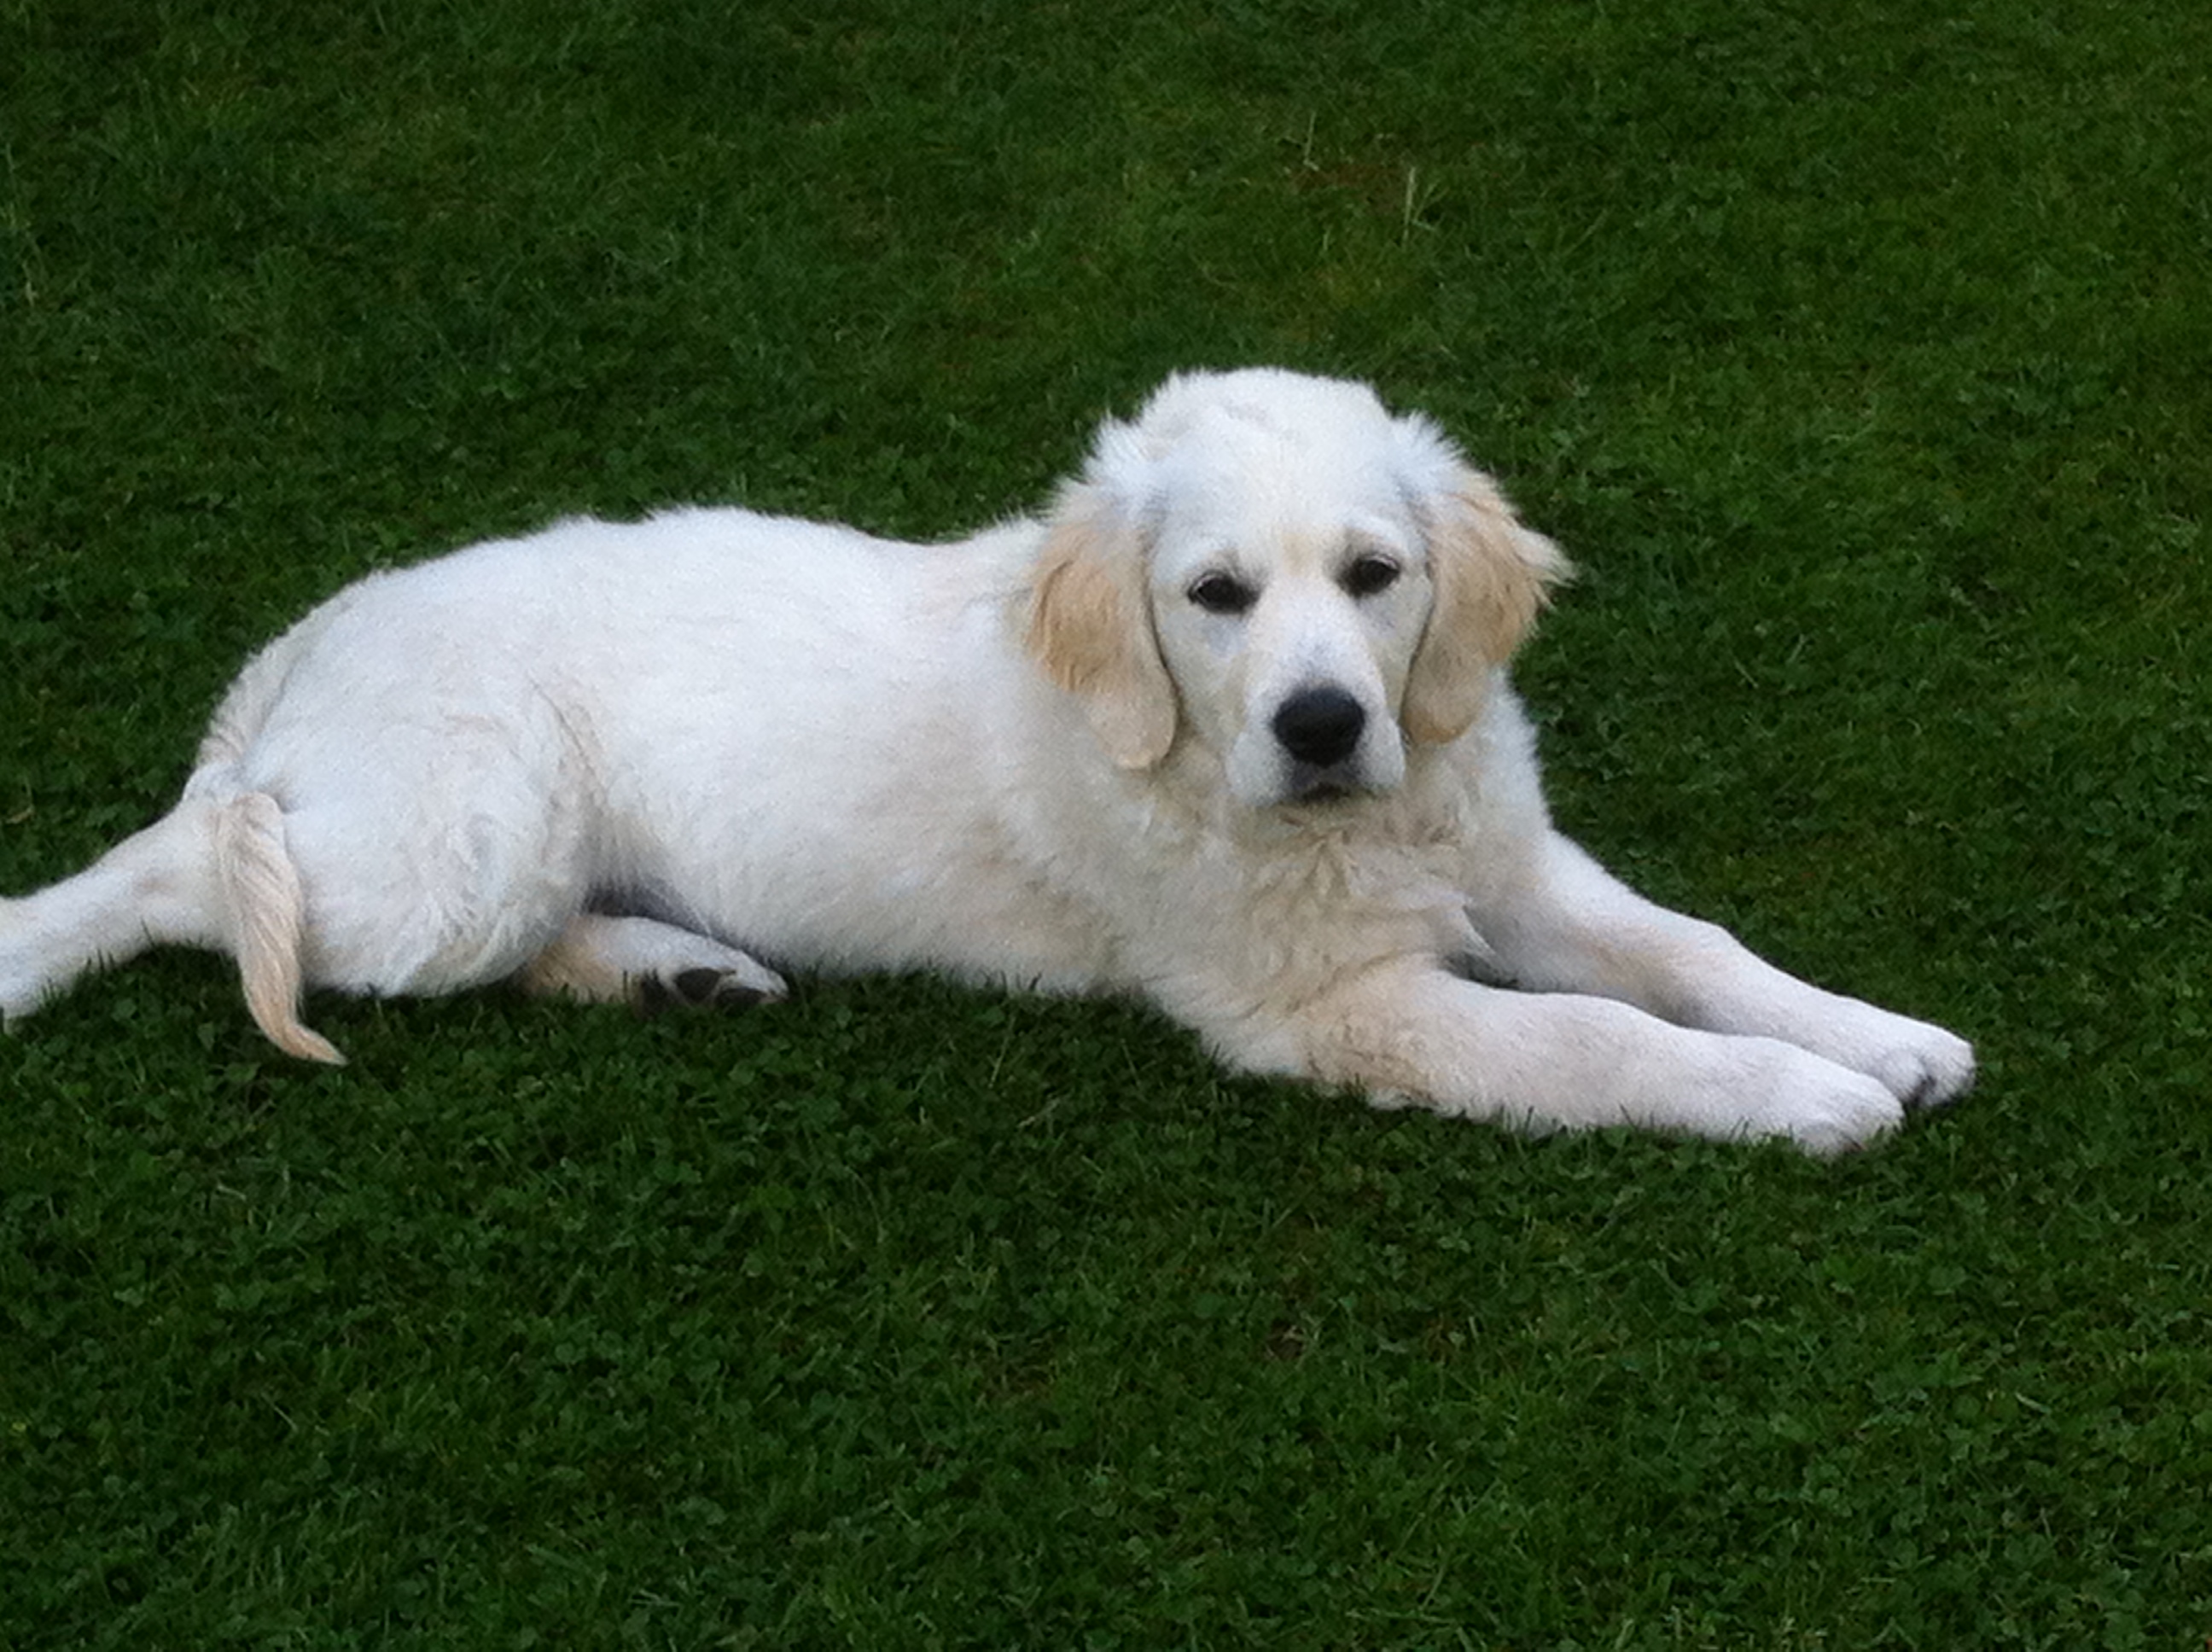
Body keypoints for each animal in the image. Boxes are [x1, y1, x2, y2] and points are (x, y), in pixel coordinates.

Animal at [0, 369, 1973, 1153]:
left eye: (1375, 578)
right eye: (1215, 597)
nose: (1326, 725)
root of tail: (310, 641)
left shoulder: (1504, 853)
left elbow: (1679, 949)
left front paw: (1872, 1033)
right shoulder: (1327, 1005)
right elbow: (1593, 1038)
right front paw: (1801, 1100)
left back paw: (676, 970)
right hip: (457, 844)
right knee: (206, 870)